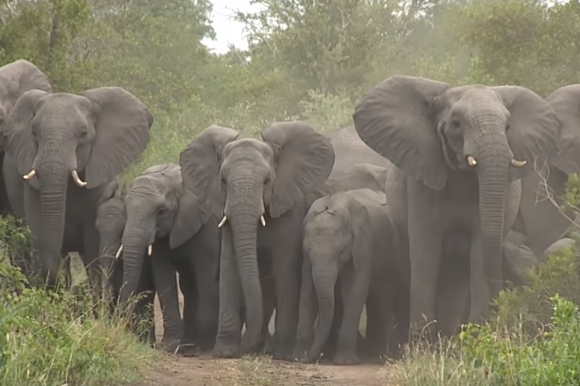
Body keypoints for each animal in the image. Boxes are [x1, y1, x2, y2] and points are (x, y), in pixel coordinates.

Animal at [103, 163, 219, 352]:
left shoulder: (208, 225)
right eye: (126, 210)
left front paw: (202, 347)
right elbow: (164, 276)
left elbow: (206, 273)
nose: (118, 324)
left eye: (161, 212)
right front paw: (170, 346)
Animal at [180, 123, 336, 358]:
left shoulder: (290, 208)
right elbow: (230, 267)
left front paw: (282, 353)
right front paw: (226, 352)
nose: (247, 347)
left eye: (267, 181)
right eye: (223, 181)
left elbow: (284, 270)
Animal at [296, 189, 410, 364]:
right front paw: (297, 357)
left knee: (381, 298)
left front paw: (344, 362)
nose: (310, 357)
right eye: (307, 251)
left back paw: (375, 354)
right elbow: (308, 291)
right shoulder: (307, 261)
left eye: (341, 251)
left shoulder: (363, 245)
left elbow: (353, 292)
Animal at [354, 75, 560, 338]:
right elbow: (426, 252)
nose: (503, 305)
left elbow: (479, 252)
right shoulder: (421, 181)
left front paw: (476, 336)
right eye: (456, 124)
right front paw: (422, 342)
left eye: (508, 127)